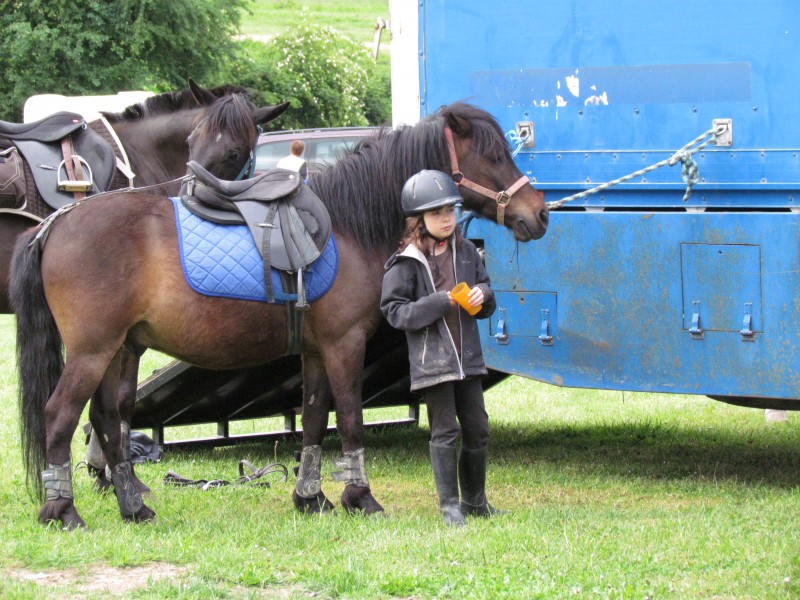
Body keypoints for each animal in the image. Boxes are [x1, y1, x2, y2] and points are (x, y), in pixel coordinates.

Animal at [11, 101, 549, 529]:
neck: (348, 225)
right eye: (495, 156)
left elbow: (312, 421)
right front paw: (361, 498)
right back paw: (63, 511)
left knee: (105, 419)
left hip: (119, 349)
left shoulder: (314, 352)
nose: (540, 213)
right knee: (60, 416)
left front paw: (311, 498)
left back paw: (133, 507)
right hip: (92, 351)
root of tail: (58, 222)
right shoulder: (344, 345)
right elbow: (349, 419)